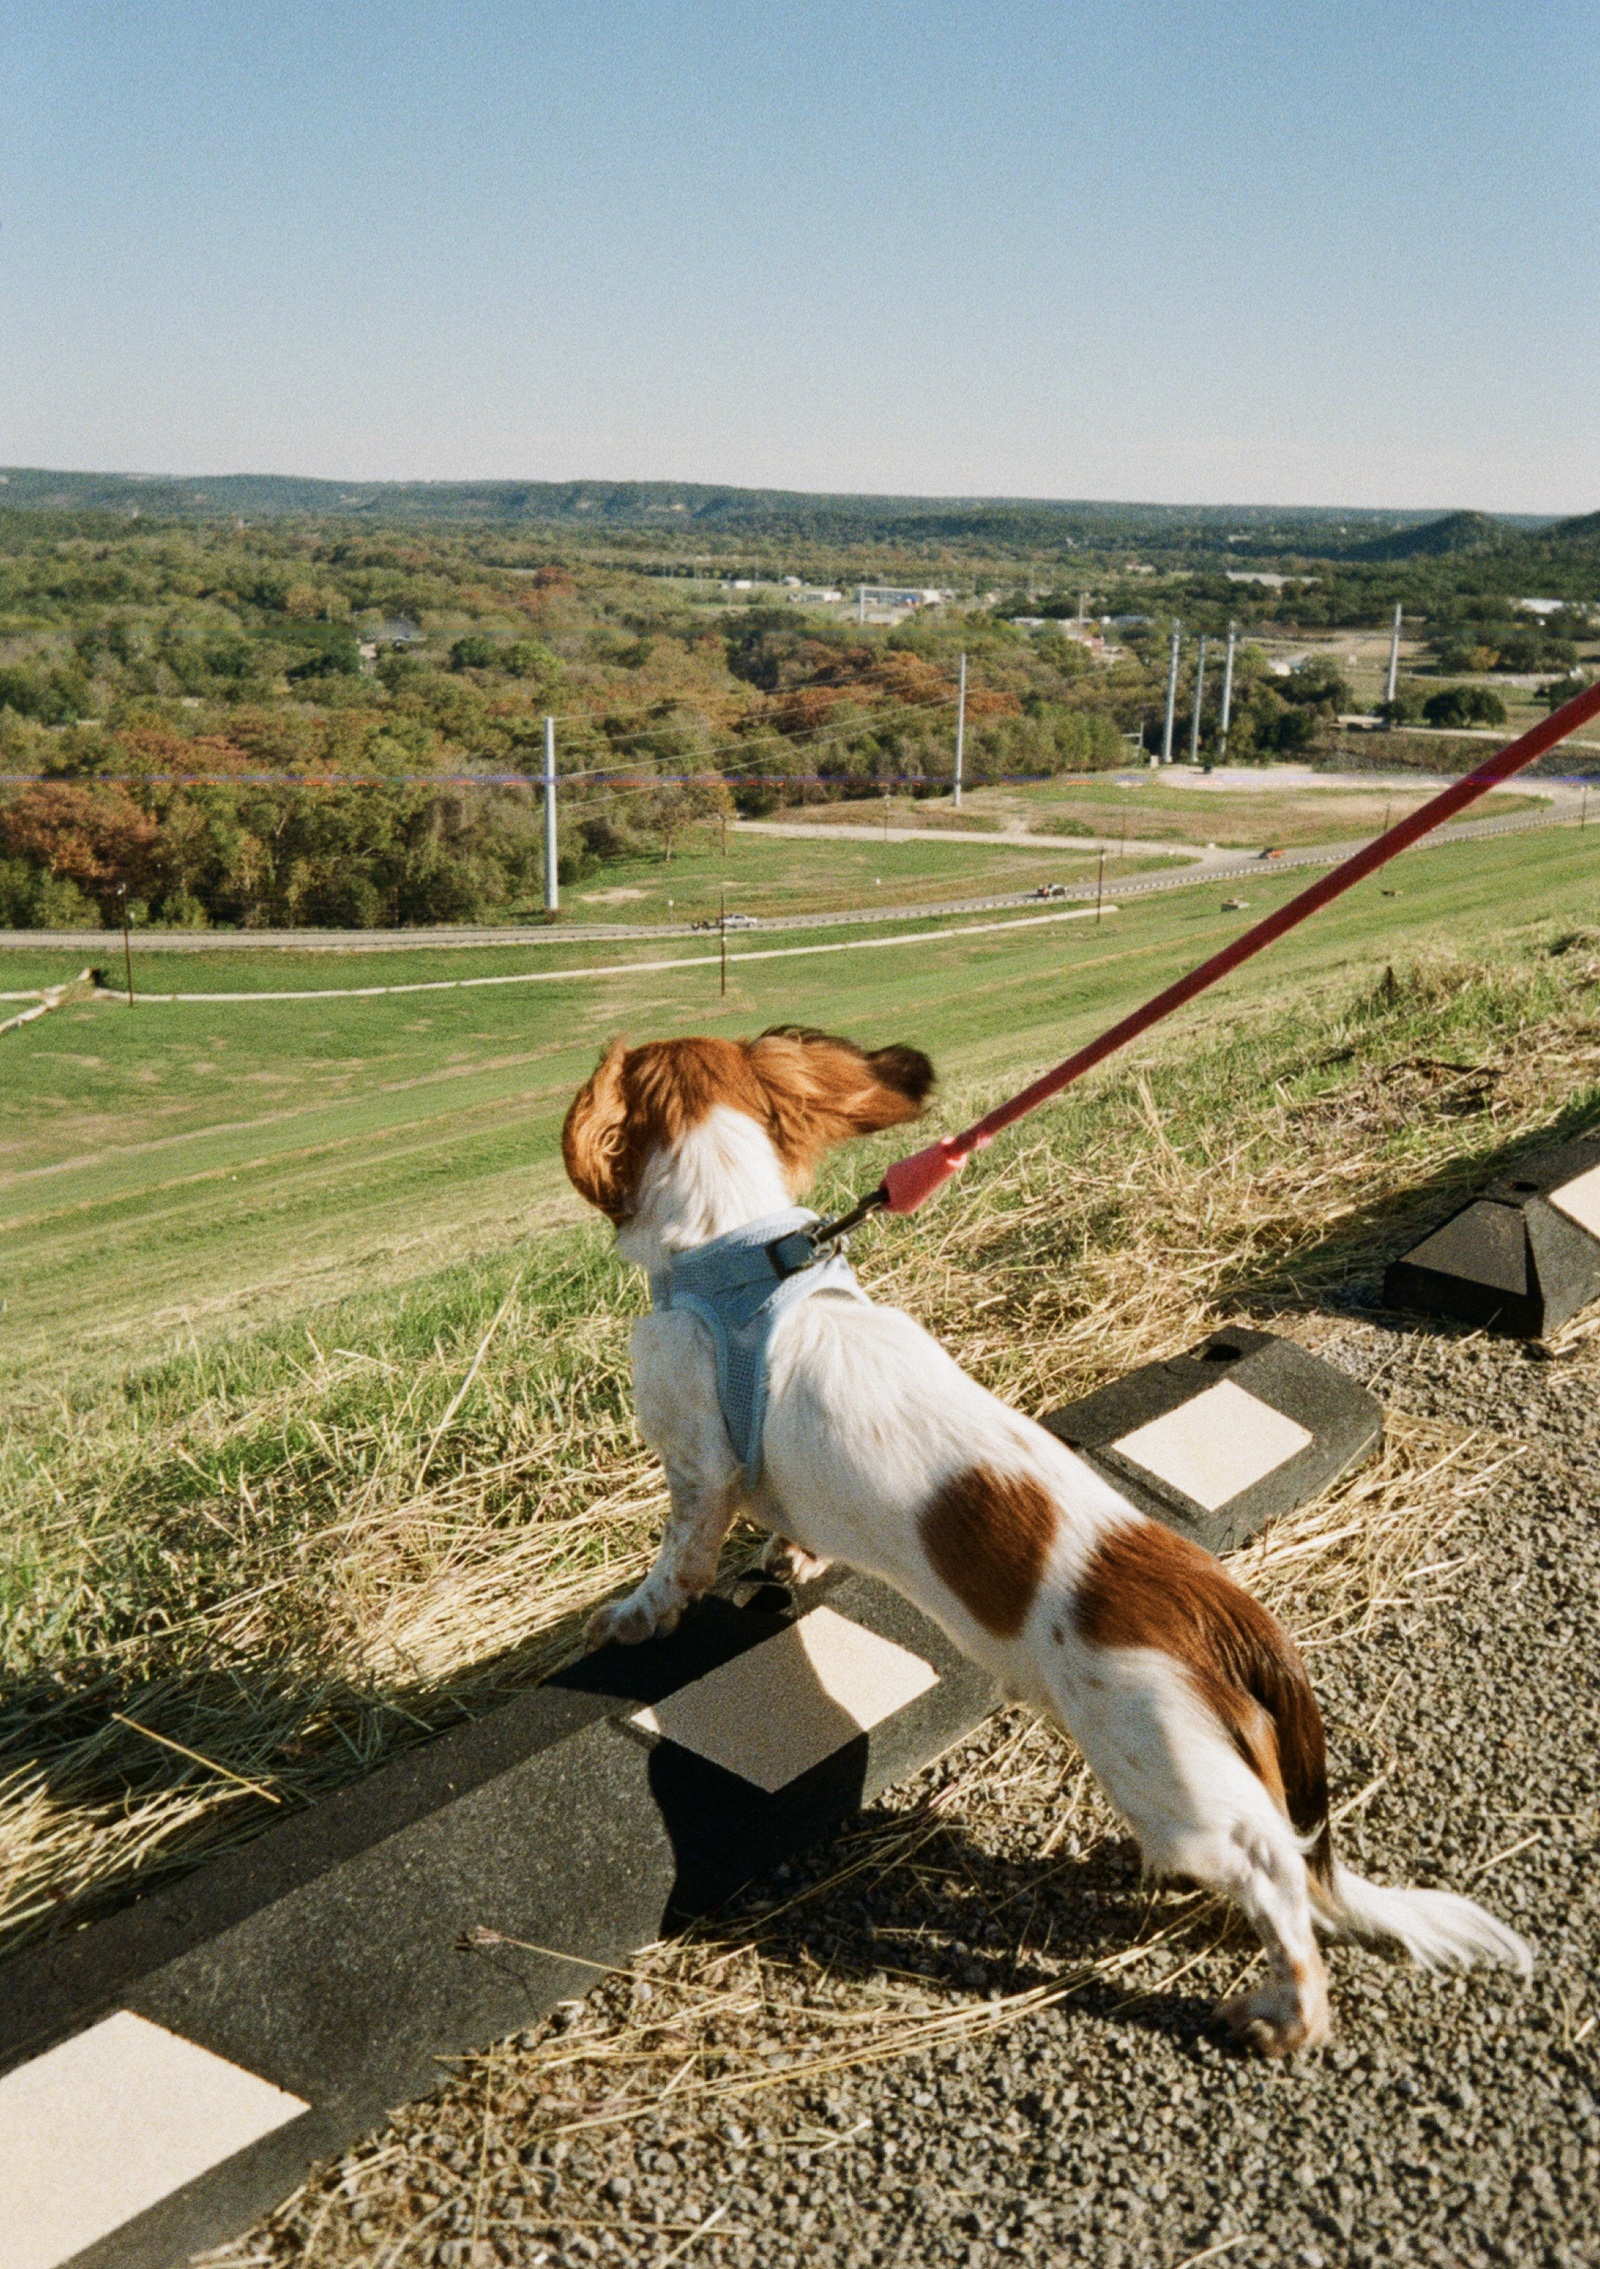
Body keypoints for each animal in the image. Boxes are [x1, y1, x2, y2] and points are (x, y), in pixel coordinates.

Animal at [558, 1030, 1525, 2060]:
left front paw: (630, 1619)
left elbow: (677, 1559)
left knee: (1275, 1871)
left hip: (1165, 1773)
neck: (741, 1247)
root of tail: (1223, 1612)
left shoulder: (700, 1463)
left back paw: (1284, 2012)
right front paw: (792, 1560)